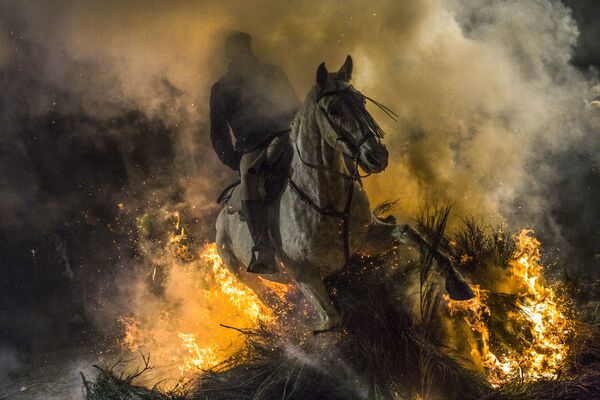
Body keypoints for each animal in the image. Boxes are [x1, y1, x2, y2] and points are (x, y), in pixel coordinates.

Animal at [216, 54, 474, 332]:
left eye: (362, 101)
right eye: (333, 110)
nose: (377, 155)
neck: (327, 200)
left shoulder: (367, 240)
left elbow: (406, 232)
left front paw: (457, 282)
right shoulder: (304, 275)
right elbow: (333, 318)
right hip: (241, 272)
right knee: (269, 301)